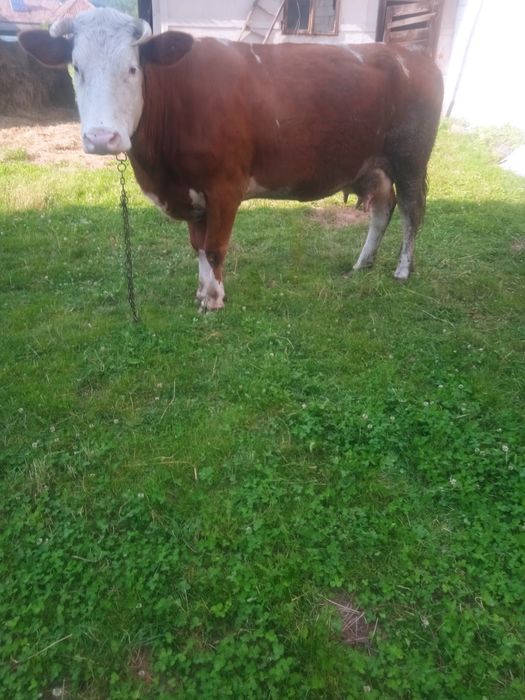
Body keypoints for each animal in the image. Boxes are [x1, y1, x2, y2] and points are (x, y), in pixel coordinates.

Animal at [19, 8, 443, 311]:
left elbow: (214, 246)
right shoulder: (192, 192)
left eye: (133, 68)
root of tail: (408, 55)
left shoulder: (224, 186)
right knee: (383, 209)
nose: (101, 137)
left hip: (410, 159)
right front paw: (202, 291)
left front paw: (214, 300)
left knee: (412, 210)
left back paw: (402, 270)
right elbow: (197, 245)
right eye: (76, 68)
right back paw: (362, 264)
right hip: (374, 165)